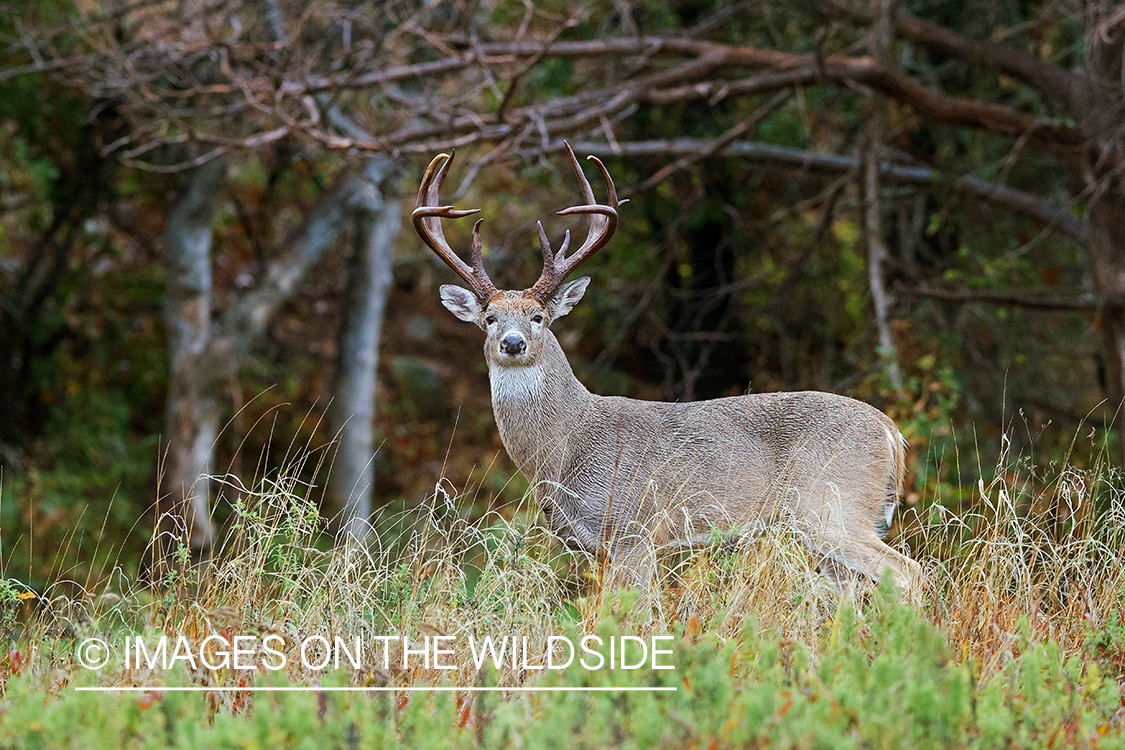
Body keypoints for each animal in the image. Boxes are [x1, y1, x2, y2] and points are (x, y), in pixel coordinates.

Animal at [414, 140, 922, 602]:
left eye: (538, 317)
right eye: (490, 318)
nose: (513, 343)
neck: (564, 447)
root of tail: (891, 432)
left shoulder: (634, 530)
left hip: (835, 506)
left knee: (909, 573)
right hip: (826, 525)